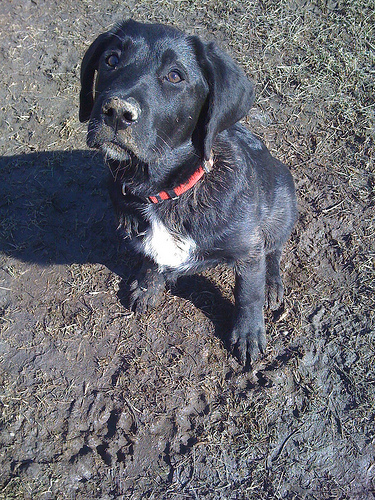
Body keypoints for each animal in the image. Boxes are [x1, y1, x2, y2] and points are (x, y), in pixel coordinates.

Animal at [79, 20, 296, 364]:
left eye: (175, 76)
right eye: (111, 59)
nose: (116, 112)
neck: (162, 190)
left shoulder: (248, 250)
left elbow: (248, 292)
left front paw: (249, 333)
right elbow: (151, 258)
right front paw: (148, 285)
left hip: (282, 206)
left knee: (274, 250)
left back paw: (273, 284)